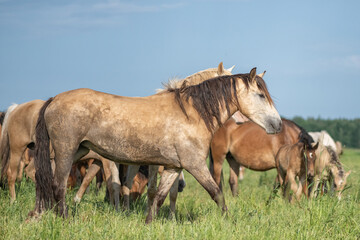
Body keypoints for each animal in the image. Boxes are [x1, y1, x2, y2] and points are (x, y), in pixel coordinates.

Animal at [29, 67, 282, 223]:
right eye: (260, 95)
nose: (278, 124)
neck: (191, 114)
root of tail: (54, 99)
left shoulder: (173, 167)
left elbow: (159, 197)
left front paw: (149, 223)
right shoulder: (195, 165)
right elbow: (217, 193)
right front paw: (229, 221)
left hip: (75, 151)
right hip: (66, 150)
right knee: (59, 186)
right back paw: (64, 219)